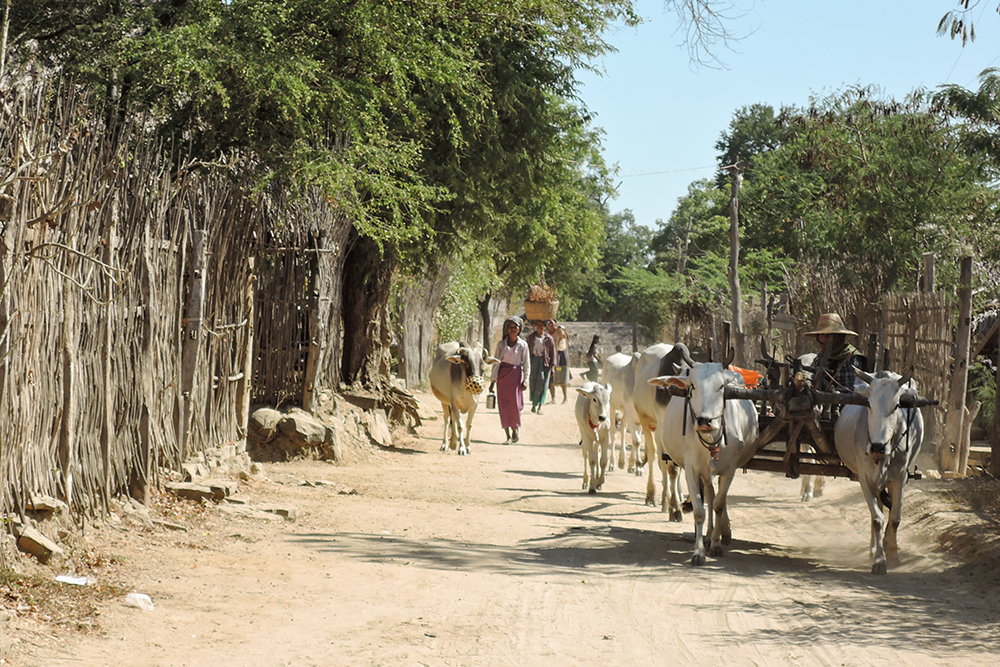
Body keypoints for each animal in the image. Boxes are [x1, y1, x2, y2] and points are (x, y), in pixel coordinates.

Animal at [632, 342, 696, 516]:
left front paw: (680, 501)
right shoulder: (662, 427)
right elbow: (669, 466)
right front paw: (672, 506)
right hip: (645, 421)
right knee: (654, 454)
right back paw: (653, 495)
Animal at [648, 352, 756, 568]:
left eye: (721, 386)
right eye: (693, 386)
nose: (705, 421)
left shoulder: (730, 469)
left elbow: (719, 505)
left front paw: (716, 544)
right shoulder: (692, 469)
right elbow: (700, 510)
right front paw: (698, 551)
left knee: (716, 499)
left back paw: (720, 534)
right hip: (703, 473)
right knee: (709, 494)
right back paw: (707, 535)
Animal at [832, 366, 924, 576]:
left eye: (897, 406)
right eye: (868, 404)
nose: (877, 447)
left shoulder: (900, 478)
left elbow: (895, 518)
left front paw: (893, 555)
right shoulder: (865, 479)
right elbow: (877, 519)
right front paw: (879, 561)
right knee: (879, 512)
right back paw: (874, 549)